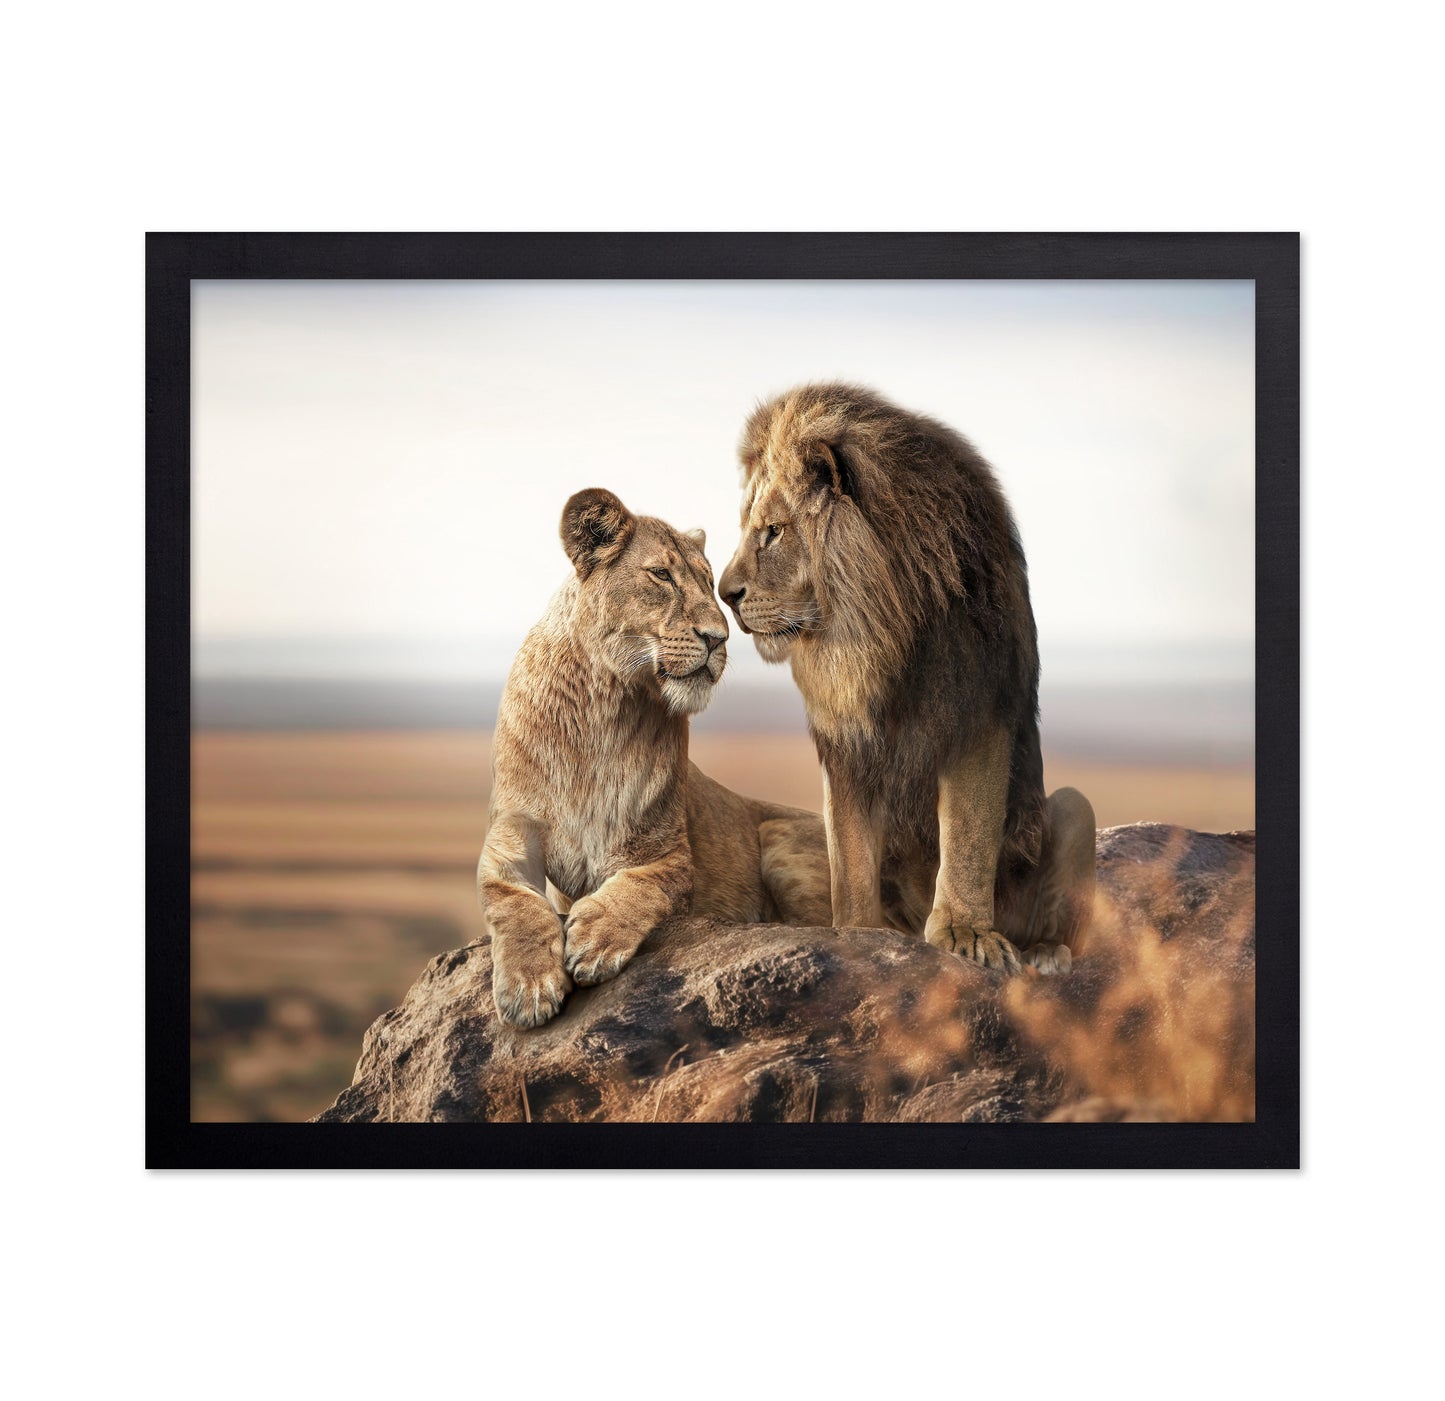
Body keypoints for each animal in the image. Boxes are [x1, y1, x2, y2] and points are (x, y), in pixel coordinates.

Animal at [477, 487, 833, 1028]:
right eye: (661, 575)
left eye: (709, 583)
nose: (719, 638)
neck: (600, 709)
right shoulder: (509, 835)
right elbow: (513, 901)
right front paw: (528, 985)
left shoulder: (667, 850)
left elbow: (642, 886)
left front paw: (595, 938)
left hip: (781, 840)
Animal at [717, 382, 1096, 975]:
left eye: (773, 532)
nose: (723, 593)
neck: (879, 631)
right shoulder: (845, 745)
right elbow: (849, 858)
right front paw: (855, 934)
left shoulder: (978, 715)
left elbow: (967, 837)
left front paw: (966, 933)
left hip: (1077, 806)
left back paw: (1043, 953)